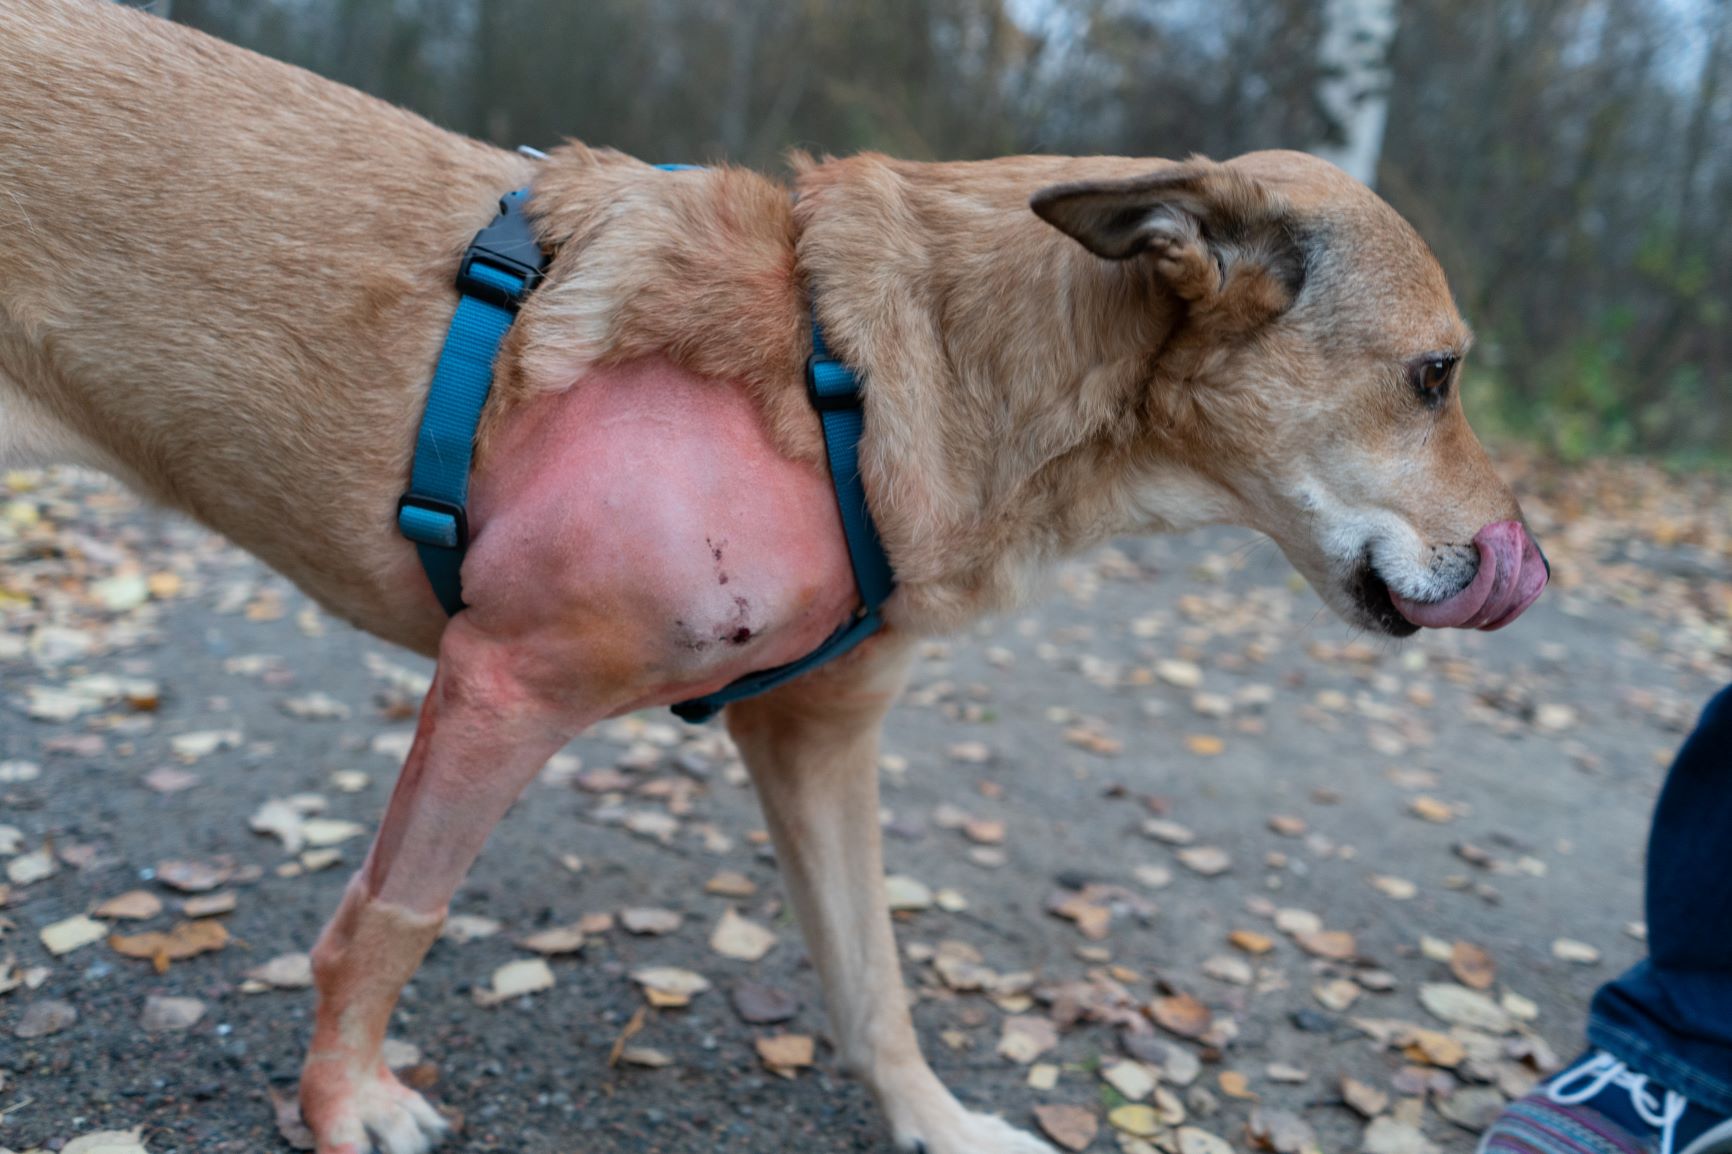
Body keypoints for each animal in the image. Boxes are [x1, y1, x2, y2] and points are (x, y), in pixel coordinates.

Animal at [0, 4, 1544, 1143]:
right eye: (1435, 375)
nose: (1528, 565)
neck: (854, 372)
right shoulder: (502, 684)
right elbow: (388, 922)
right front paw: (336, 1106)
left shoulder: (815, 735)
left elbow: (874, 982)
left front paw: (938, 1122)